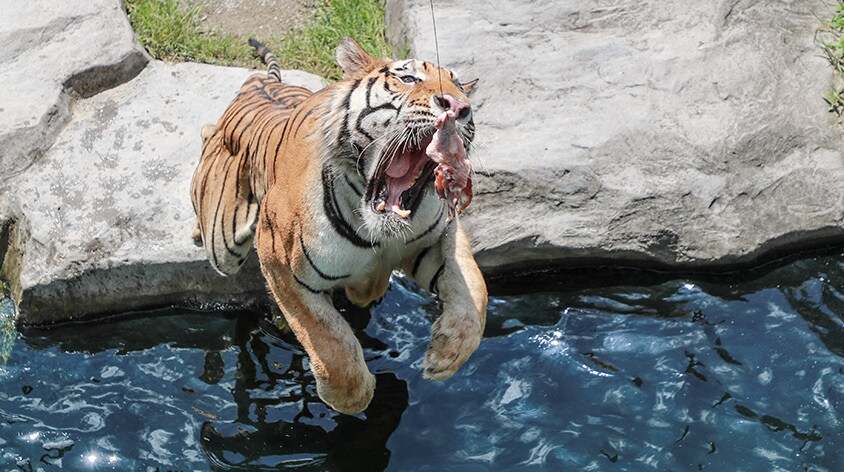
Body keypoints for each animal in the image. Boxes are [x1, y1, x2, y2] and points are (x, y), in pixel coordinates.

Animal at [190, 38, 487, 414]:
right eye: (407, 78)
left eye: (459, 87)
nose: (459, 107)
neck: (380, 232)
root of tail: (259, 83)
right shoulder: (279, 262)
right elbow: (328, 341)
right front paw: (352, 397)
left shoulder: (441, 235)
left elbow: (474, 293)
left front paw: (446, 353)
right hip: (223, 244)